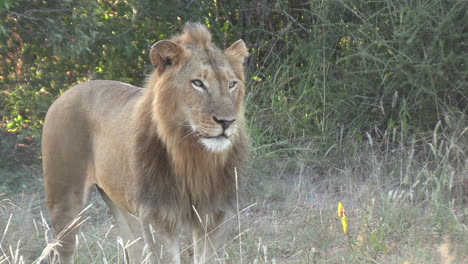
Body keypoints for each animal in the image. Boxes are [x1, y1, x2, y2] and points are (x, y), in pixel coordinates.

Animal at [42, 23, 250, 264]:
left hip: (123, 206)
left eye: (232, 84)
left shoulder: (216, 214)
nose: (227, 122)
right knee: (60, 251)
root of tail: (66, 92)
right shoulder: (157, 217)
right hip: (65, 202)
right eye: (198, 83)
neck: (193, 156)